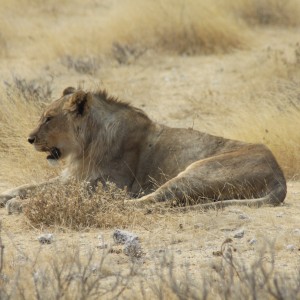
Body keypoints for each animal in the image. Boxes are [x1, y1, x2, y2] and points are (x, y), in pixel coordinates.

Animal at [0, 87, 286, 213]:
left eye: (48, 119)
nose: (29, 139)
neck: (86, 145)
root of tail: (279, 176)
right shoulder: (72, 177)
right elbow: (31, 186)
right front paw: (7, 195)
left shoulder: (105, 184)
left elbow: (52, 194)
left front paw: (18, 204)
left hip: (198, 171)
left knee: (152, 200)